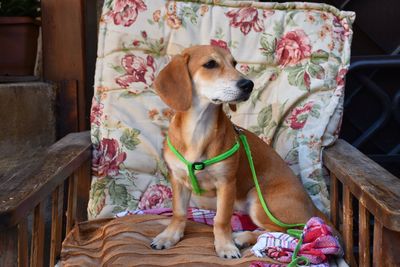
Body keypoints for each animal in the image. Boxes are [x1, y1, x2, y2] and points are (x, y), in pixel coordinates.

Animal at [150, 45, 328, 260]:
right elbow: (179, 213)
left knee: (287, 231)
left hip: (258, 198)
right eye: (210, 64)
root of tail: (315, 208)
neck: (198, 130)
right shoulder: (178, 180)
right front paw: (169, 236)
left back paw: (242, 237)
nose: (248, 84)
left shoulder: (226, 183)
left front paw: (225, 246)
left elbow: (221, 219)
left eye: (234, 63)